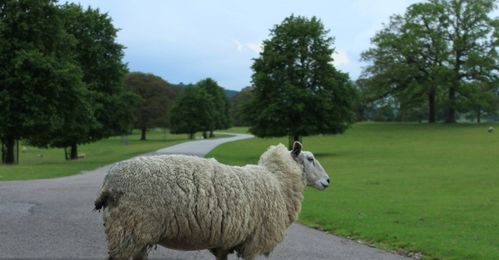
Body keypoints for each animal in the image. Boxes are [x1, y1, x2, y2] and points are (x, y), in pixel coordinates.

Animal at [95, 142, 330, 260]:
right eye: (310, 158)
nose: (328, 181)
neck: (278, 181)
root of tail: (110, 179)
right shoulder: (253, 242)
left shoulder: (225, 242)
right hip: (127, 231)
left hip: (136, 234)